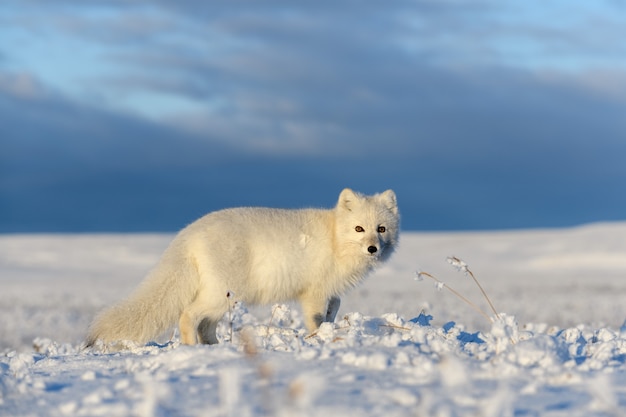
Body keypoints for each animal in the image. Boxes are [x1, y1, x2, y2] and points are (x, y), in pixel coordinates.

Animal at [85, 188, 398, 344]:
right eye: (359, 229)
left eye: (381, 229)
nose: (372, 248)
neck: (334, 238)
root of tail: (188, 233)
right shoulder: (314, 293)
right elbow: (315, 320)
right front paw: (316, 339)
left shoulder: (332, 293)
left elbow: (333, 312)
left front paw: (329, 331)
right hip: (222, 293)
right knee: (188, 316)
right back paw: (193, 349)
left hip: (226, 298)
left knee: (205, 326)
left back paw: (217, 349)